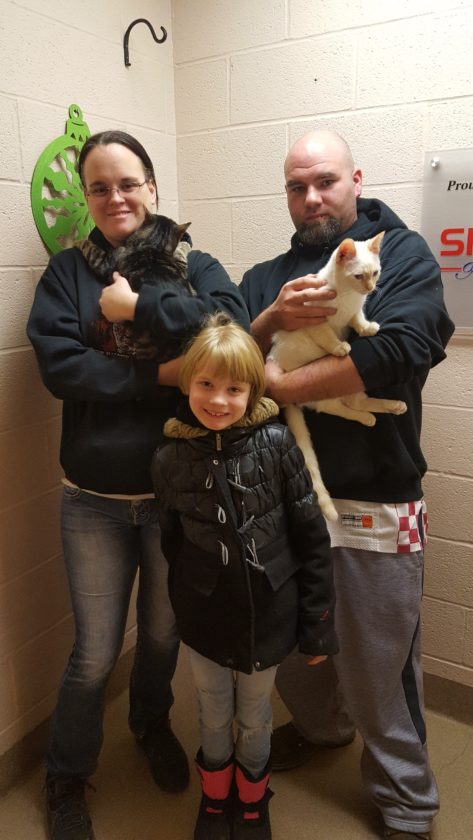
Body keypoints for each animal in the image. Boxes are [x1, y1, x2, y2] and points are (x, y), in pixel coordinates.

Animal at [78, 211, 193, 362]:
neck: (153, 246)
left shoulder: (103, 263)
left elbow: (90, 248)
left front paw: (79, 241)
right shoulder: (181, 269)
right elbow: (180, 257)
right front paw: (184, 245)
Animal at [270, 231, 407, 521]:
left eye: (375, 273)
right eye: (358, 276)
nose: (369, 288)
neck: (347, 296)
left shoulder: (354, 310)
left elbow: (356, 318)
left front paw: (366, 328)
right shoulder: (313, 319)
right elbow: (325, 335)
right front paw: (338, 347)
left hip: (349, 385)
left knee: (357, 401)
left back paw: (393, 406)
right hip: (317, 390)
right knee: (338, 408)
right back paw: (366, 417)